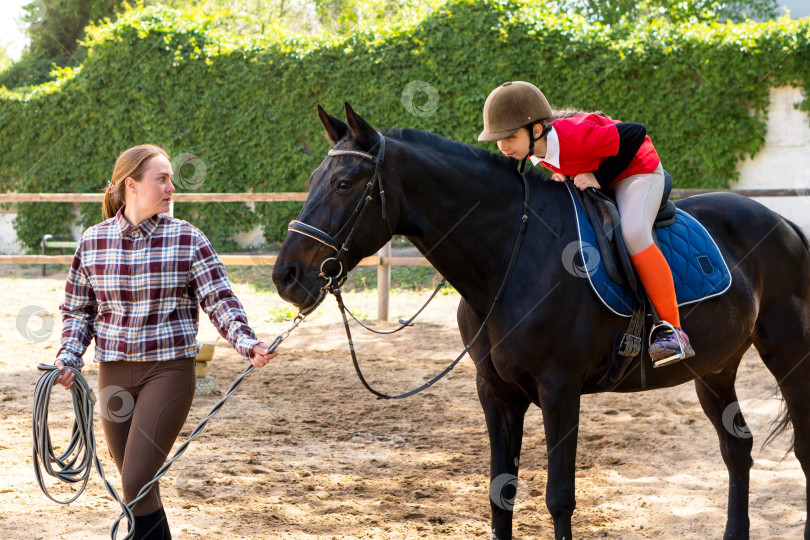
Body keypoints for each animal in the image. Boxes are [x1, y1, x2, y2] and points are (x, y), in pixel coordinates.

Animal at [272, 103, 808, 536]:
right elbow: (500, 494)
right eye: (313, 181)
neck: (512, 254)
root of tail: (782, 223)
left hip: (788, 355)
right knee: (737, 449)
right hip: (715, 368)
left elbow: (559, 499)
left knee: (802, 448)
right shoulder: (495, 391)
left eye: (344, 184)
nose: (286, 276)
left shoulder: (559, 390)